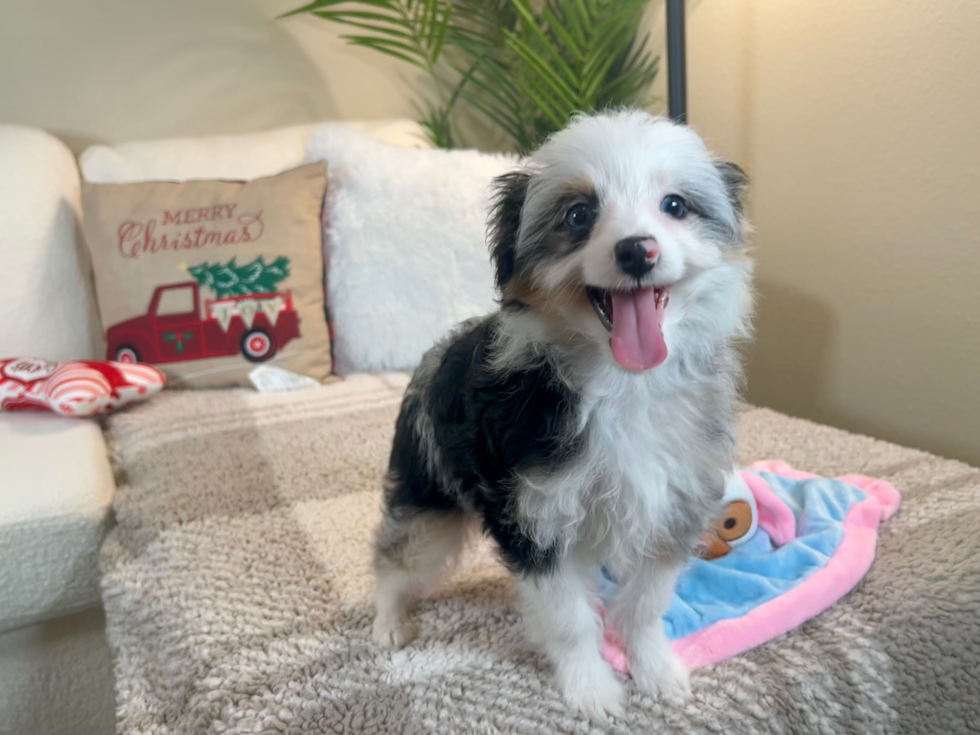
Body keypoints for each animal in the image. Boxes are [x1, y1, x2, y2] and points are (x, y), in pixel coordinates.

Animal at [372, 109, 756, 720]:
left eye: (675, 205)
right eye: (579, 215)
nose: (637, 251)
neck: (624, 384)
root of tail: (435, 353)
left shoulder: (676, 499)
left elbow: (644, 604)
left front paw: (654, 668)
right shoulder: (535, 518)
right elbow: (570, 620)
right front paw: (591, 688)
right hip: (426, 492)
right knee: (397, 556)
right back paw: (389, 620)